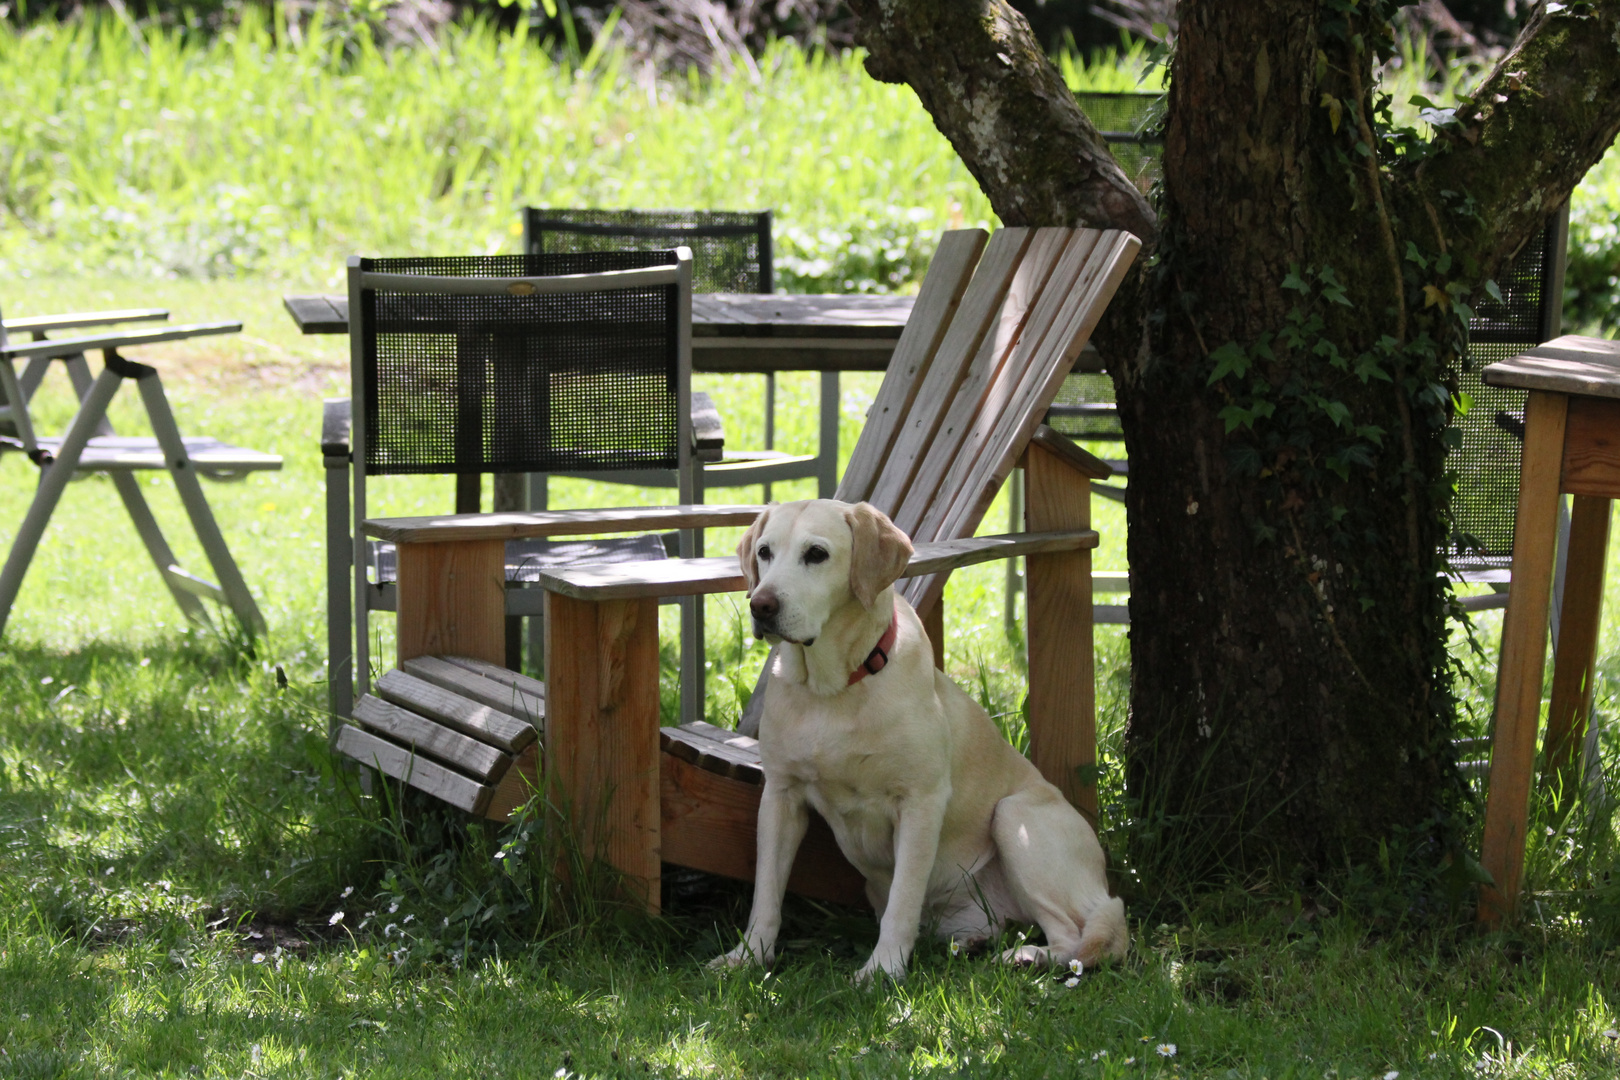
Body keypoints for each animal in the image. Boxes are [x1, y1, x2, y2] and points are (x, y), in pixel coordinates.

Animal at [712, 501, 1127, 984]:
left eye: (816, 554)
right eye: (764, 552)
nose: (761, 605)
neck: (834, 689)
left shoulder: (920, 802)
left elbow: (902, 900)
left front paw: (883, 970)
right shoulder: (780, 797)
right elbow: (766, 894)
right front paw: (749, 957)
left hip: (1014, 817)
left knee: (1078, 937)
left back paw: (1027, 957)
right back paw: (987, 945)